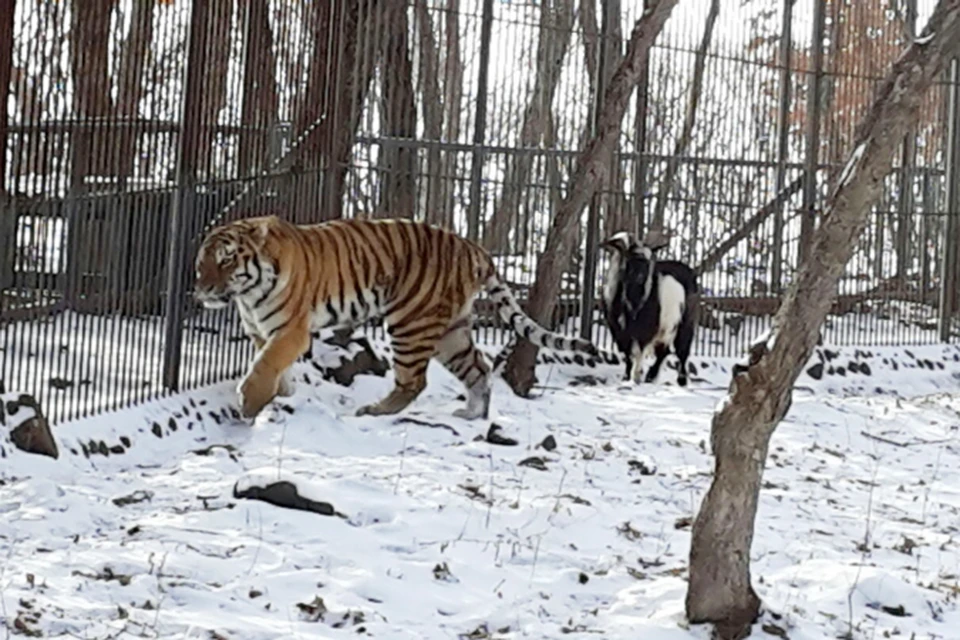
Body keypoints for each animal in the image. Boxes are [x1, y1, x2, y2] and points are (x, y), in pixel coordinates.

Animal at [193, 216, 600, 420]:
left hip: (411, 322)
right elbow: (272, 365)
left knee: (414, 380)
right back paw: (471, 415)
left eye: (226, 259)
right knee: (479, 368)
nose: (202, 289)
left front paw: (250, 402)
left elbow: (266, 365)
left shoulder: (290, 330)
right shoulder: (261, 331)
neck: (248, 295)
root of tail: (474, 247)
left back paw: (375, 411)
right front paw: (281, 393)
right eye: (203, 261)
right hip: (452, 330)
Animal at [600, 234, 696, 384]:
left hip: (685, 323)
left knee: (682, 350)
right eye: (630, 258)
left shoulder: (646, 329)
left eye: (647, 262)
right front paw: (626, 376)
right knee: (664, 351)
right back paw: (651, 376)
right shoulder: (618, 331)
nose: (641, 277)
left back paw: (681, 380)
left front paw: (636, 376)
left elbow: (639, 352)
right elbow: (627, 354)